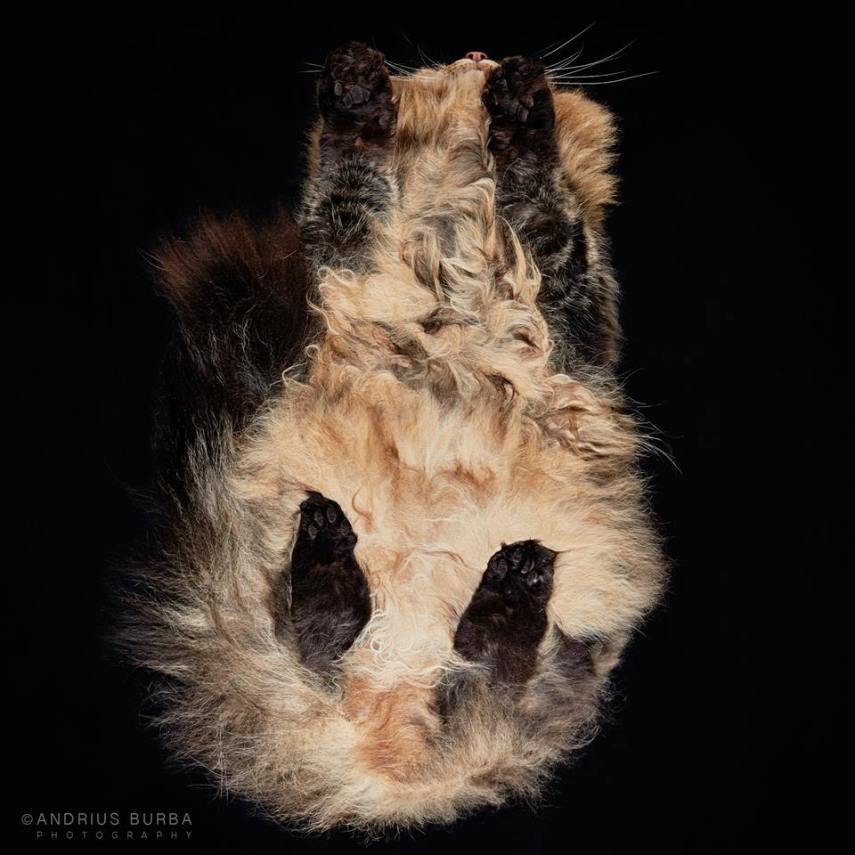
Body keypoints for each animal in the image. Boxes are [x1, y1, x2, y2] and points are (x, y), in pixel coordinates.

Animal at [118, 41, 668, 836]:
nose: (478, 53)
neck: (449, 244)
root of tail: (389, 763)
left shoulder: (570, 295)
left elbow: (540, 197)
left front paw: (519, 110)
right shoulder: (336, 254)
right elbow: (351, 178)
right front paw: (357, 93)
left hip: (563, 654)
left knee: (498, 670)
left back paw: (504, 596)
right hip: (263, 582)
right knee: (313, 640)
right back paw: (333, 575)